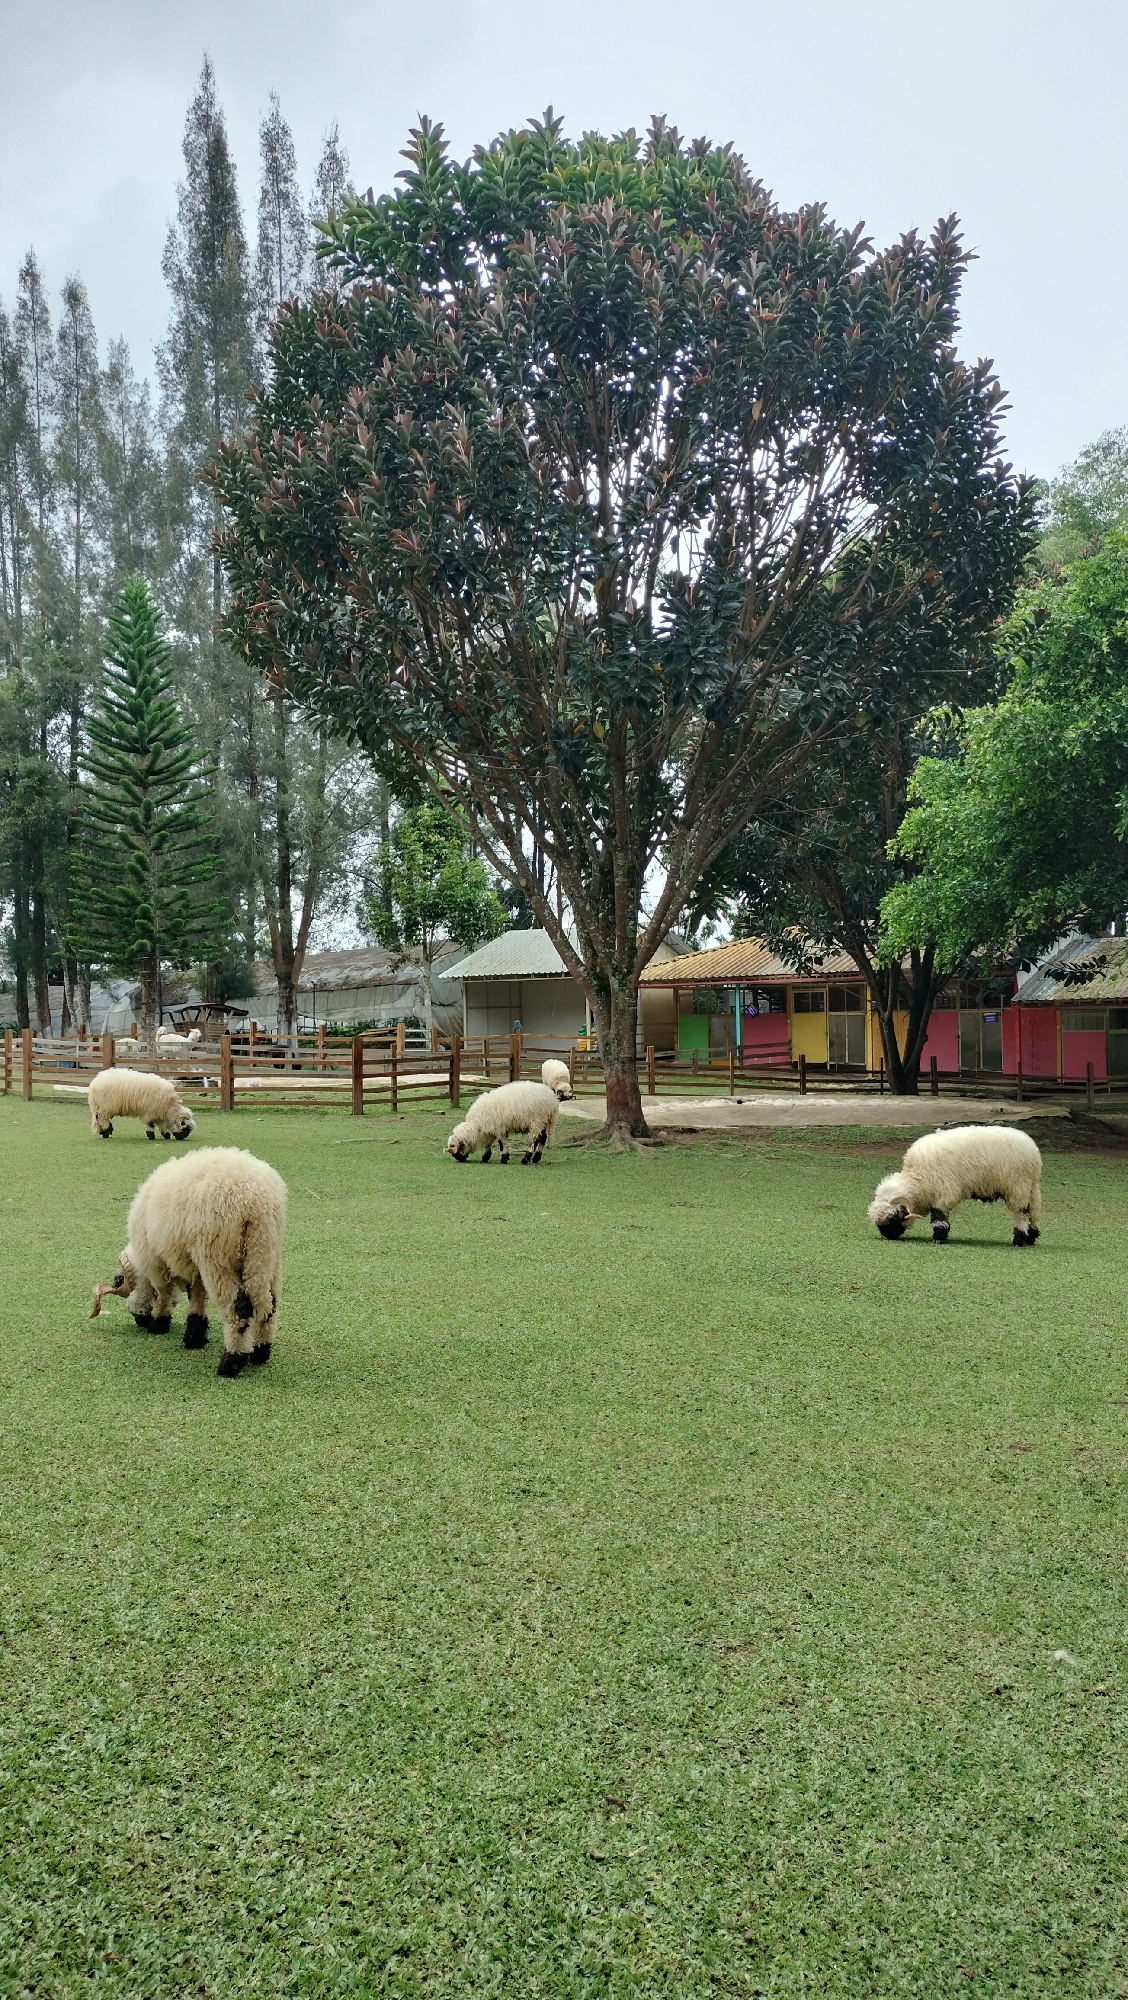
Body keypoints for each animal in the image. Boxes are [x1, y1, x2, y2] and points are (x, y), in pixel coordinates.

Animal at [90, 1146, 286, 1377]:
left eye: (121, 1282)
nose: (139, 1320)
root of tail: (255, 1198)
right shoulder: (194, 1263)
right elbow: (198, 1296)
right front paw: (195, 1335)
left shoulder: (157, 1263)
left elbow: (164, 1293)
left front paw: (158, 1323)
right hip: (265, 1254)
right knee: (269, 1304)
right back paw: (260, 1352)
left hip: (218, 1257)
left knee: (239, 1307)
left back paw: (232, 1361)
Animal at [868, 1125, 1043, 1247]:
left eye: (893, 1217)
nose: (888, 1236)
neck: (918, 1178)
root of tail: (1033, 1151)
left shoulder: (945, 1192)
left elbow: (938, 1215)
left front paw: (939, 1238)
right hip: (1032, 1188)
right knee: (1033, 1212)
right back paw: (1031, 1237)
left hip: (1017, 1186)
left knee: (1021, 1214)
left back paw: (1018, 1240)